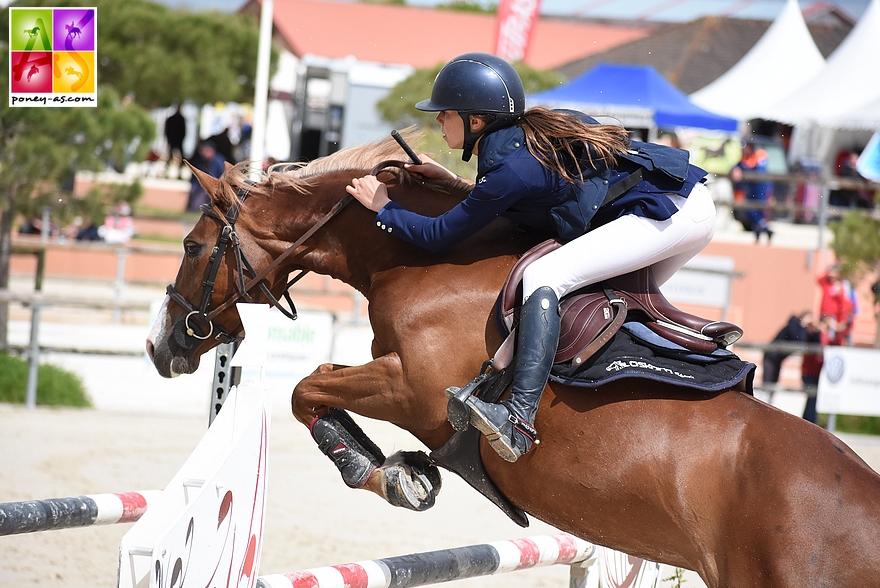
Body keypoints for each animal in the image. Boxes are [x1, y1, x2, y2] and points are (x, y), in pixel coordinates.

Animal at [146, 134, 880, 588]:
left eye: (189, 245)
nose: (162, 346)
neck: (422, 258)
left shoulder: (413, 390)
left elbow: (308, 388)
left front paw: (383, 472)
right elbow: (314, 390)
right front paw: (402, 470)